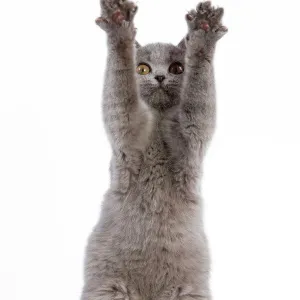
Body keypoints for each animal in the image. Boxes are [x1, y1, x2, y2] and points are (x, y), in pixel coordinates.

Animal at [81, 0, 226, 300]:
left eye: (178, 68)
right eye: (143, 69)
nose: (159, 76)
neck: (158, 123)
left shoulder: (192, 137)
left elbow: (200, 95)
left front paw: (203, 37)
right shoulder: (127, 129)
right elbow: (120, 87)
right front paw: (119, 29)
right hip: (108, 288)